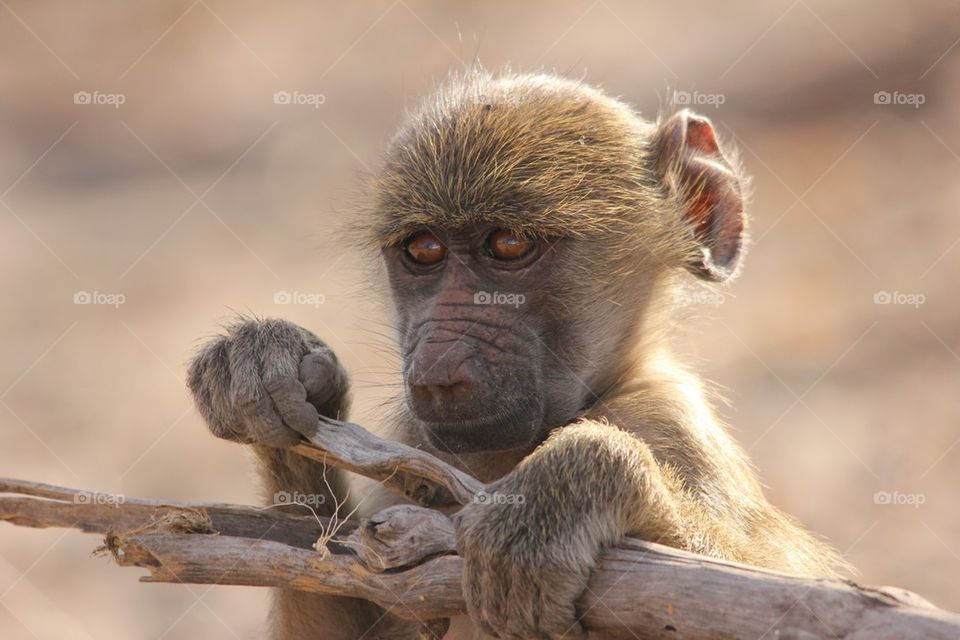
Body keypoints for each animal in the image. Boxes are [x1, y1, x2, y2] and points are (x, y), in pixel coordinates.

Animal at [187, 70, 850, 639]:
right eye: (423, 249)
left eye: (507, 244)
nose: (437, 368)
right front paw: (265, 365)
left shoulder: (668, 421)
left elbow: (773, 592)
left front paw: (565, 488)